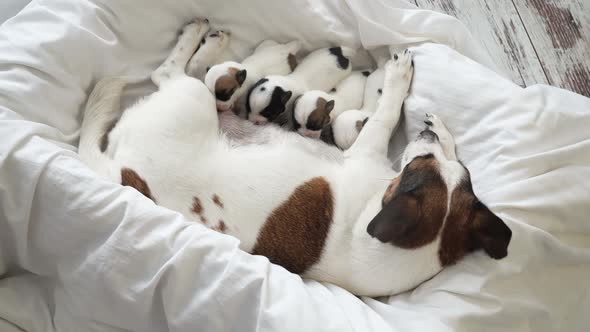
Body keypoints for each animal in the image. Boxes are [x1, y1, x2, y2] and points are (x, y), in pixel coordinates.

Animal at [80, 20, 512, 296]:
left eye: (412, 168)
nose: (425, 134)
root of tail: (124, 171)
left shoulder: (369, 148)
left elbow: (387, 113)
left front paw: (405, 92)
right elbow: (393, 116)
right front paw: (438, 128)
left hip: (191, 97)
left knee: (168, 73)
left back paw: (204, 38)